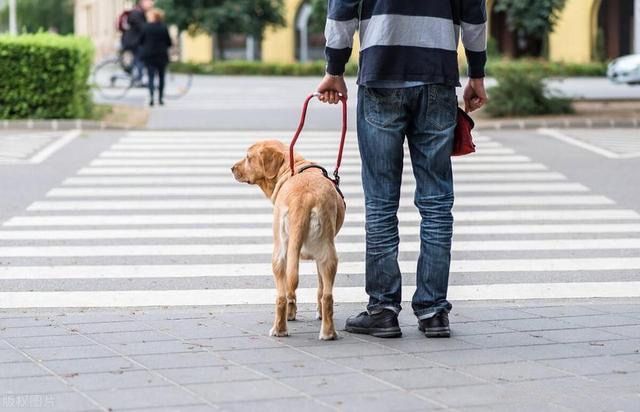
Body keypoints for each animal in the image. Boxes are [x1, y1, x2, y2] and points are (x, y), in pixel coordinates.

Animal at [231, 140, 344, 340]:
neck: (292, 166)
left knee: (283, 296)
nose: (231, 168)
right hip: (326, 255)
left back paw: (281, 329)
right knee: (325, 296)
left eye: (248, 157)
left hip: (281, 252)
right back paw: (326, 332)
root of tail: (304, 198)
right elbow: (314, 289)